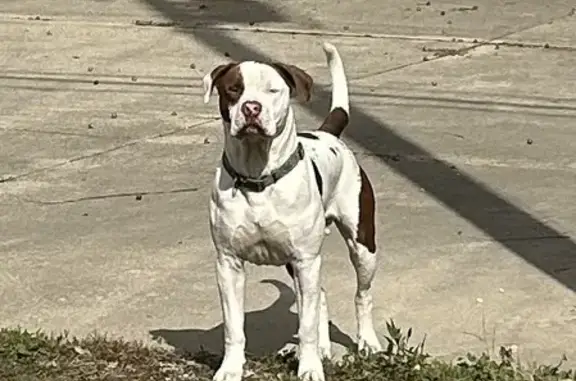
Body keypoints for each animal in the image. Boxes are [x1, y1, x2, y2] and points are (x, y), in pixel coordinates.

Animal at [202, 41, 382, 380]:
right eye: (234, 89)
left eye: (273, 90)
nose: (251, 108)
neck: (257, 176)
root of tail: (328, 133)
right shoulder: (229, 264)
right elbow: (234, 327)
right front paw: (230, 368)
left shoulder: (305, 259)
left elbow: (307, 324)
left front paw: (309, 368)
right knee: (319, 294)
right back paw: (324, 348)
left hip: (362, 244)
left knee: (362, 295)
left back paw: (368, 342)